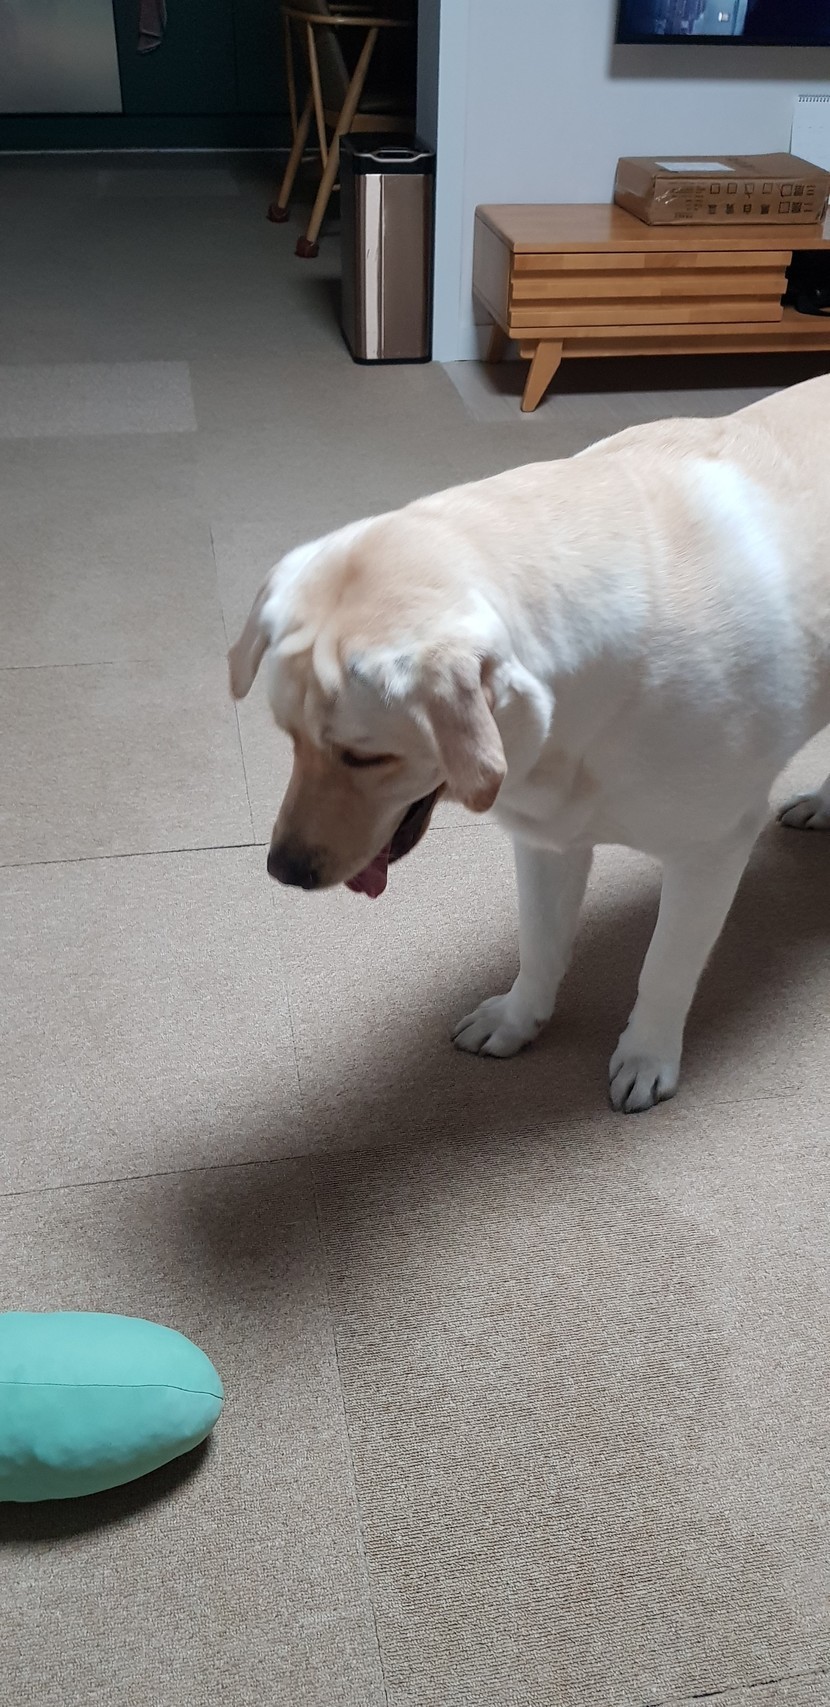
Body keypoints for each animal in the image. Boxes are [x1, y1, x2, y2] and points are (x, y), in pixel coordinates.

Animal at [229, 373, 830, 1111]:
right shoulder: (547, 838)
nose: (282, 870)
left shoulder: (713, 849)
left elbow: (665, 968)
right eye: (288, 738)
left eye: (367, 757)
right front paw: (519, 1020)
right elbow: (540, 946)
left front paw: (647, 1053)